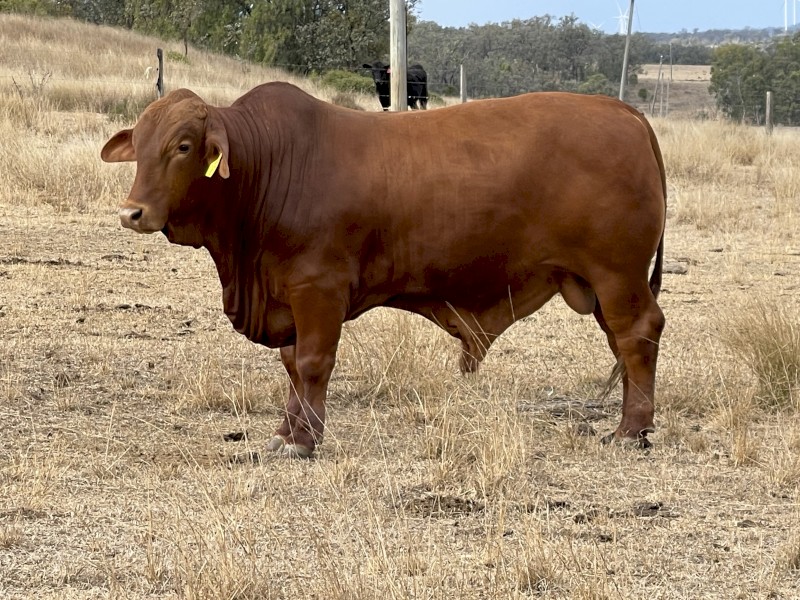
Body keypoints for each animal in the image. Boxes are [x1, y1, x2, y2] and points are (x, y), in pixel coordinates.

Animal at [101, 82, 666, 459]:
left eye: (183, 146)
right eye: (140, 147)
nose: (133, 213)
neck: (270, 164)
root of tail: (622, 110)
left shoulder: (319, 289)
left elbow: (312, 363)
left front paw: (305, 441)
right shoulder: (288, 295)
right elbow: (291, 365)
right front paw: (286, 433)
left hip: (617, 275)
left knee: (638, 335)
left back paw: (630, 430)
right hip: (599, 282)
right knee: (623, 344)